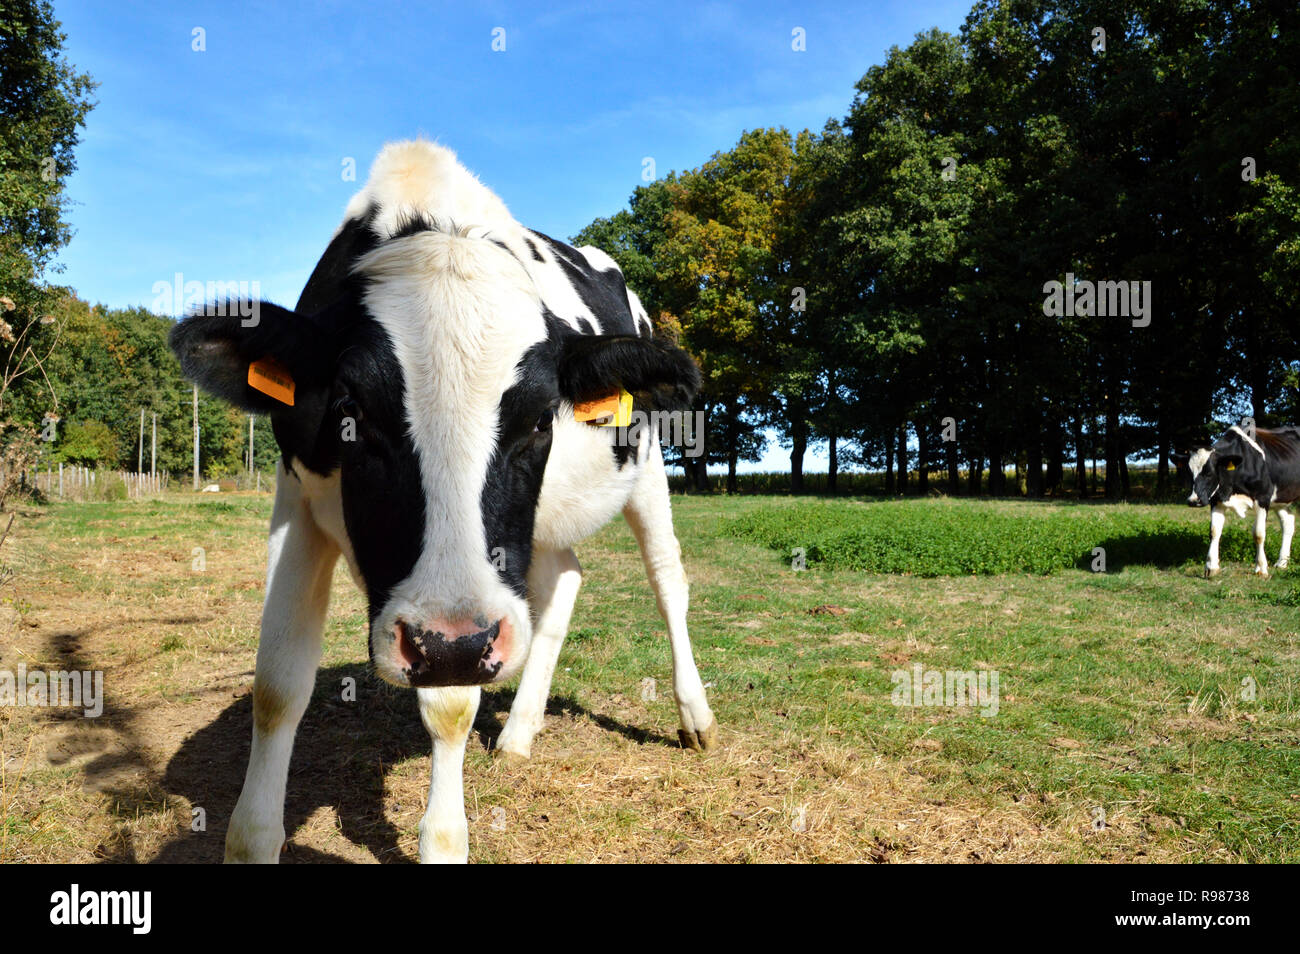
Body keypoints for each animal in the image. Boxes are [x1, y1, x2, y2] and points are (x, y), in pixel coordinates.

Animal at [166, 141, 717, 868]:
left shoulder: (466, 622)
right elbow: (278, 685)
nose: (451, 642)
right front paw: (253, 838)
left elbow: (452, 704)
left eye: (539, 419)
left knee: (667, 579)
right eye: (350, 412)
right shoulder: (297, 496)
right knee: (565, 577)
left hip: (647, 466)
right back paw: (519, 731)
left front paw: (445, 840)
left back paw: (694, 716)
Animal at [1185, 428, 1294, 579]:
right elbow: (1214, 531)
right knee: (1288, 522)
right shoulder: (1216, 500)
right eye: (1189, 473)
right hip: (1281, 500)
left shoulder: (1263, 498)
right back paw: (1282, 562)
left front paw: (1261, 569)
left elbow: (1259, 534)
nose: (1193, 501)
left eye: (1209, 473)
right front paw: (1211, 567)